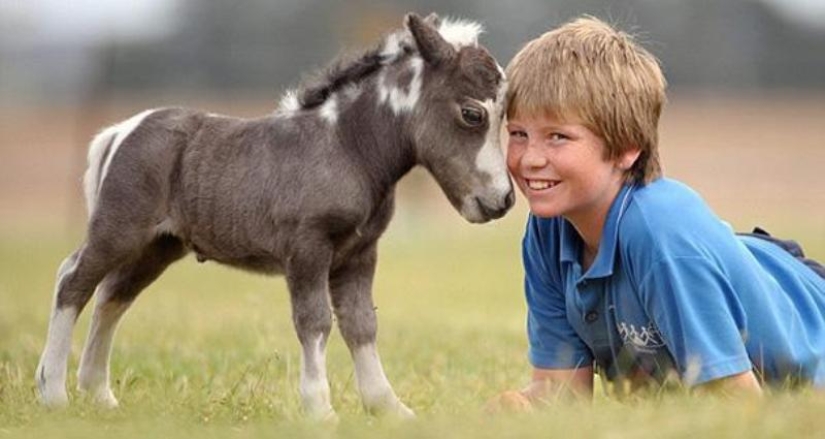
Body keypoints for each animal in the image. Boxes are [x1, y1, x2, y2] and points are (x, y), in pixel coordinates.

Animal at [35, 12, 513, 420]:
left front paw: (388, 408)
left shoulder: (359, 254)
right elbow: (315, 321)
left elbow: (362, 323)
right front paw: (320, 409)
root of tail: (122, 130)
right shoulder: (308, 248)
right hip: (119, 230)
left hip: (158, 247)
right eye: (473, 113)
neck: (347, 148)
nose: (502, 200)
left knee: (113, 296)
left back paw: (100, 395)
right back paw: (53, 392)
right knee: (73, 281)